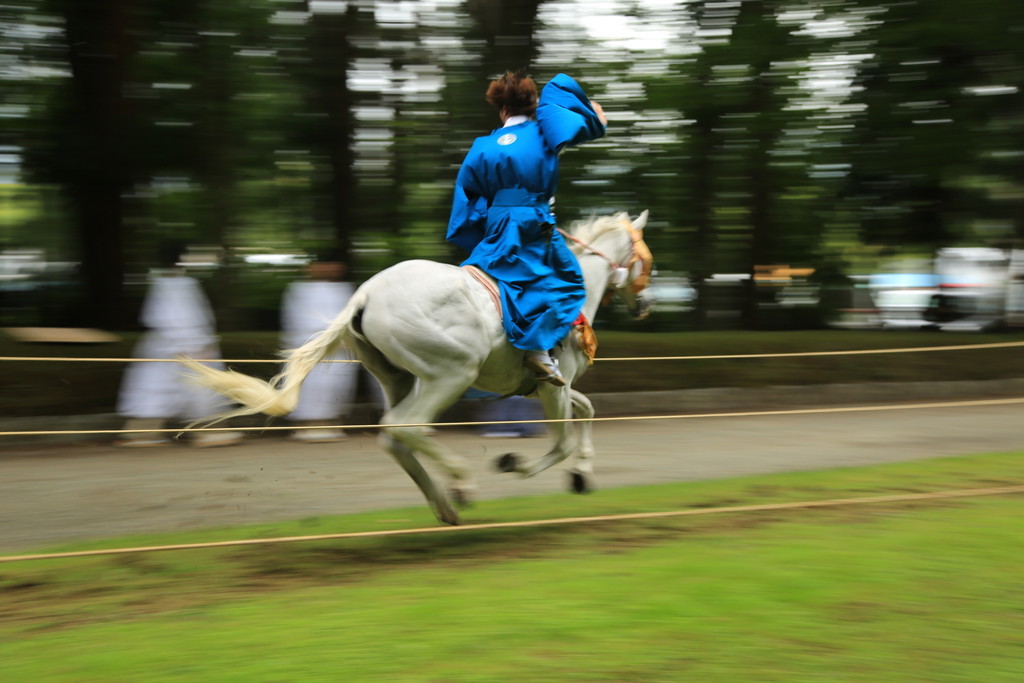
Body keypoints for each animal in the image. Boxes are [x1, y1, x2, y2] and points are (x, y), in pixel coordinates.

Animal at [181, 210, 651, 528]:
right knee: (403, 426)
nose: (646, 306)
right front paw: (517, 464)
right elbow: (563, 442)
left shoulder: (550, 386)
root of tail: (364, 296)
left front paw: (582, 475)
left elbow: (587, 410)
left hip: (401, 378)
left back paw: (444, 503)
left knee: (394, 435)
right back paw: (460, 483)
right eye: (648, 258)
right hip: (450, 374)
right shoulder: (553, 385)